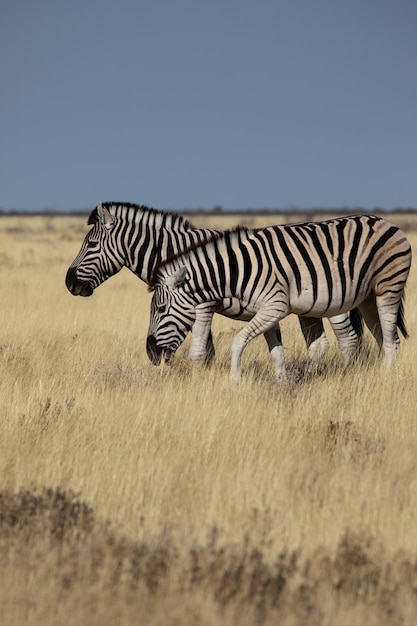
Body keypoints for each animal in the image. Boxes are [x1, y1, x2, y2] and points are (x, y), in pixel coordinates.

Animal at [65, 200, 360, 364]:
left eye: (91, 245)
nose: (69, 283)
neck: (174, 253)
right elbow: (207, 351)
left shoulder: (200, 304)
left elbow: (202, 350)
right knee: (320, 344)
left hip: (334, 303)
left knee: (348, 340)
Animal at [146, 214, 410, 380]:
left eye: (160, 309)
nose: (151, 353)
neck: (239, 270)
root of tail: (388, 223)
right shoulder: (265, 311)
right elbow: (276, 351)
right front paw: (282, 384)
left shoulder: (275, 306)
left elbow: (237, 341)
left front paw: (234, 380)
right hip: (367, 299)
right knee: (384, 339)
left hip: (388, 288)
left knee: (388, 339)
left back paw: (385, 378)